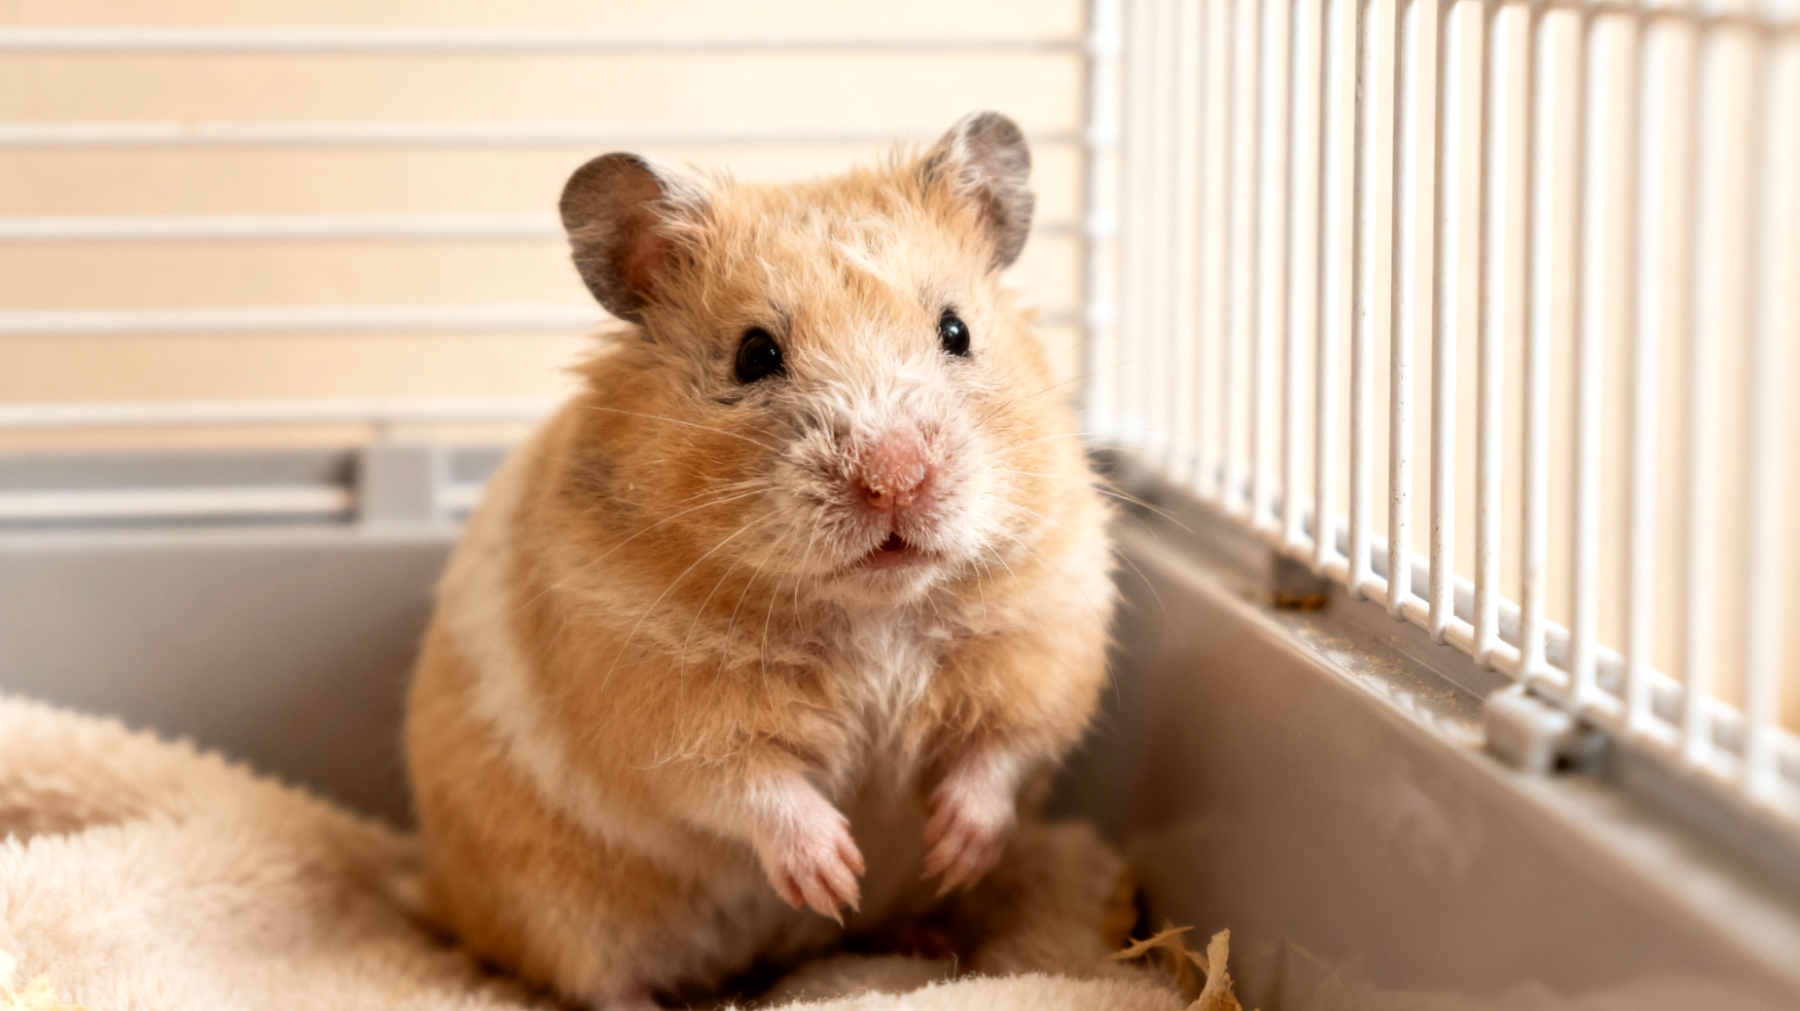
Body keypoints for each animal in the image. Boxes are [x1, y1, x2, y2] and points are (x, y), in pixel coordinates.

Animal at [404, 111, 1115, 1010]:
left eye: (955, 331)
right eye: (753, 355)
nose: (895, 478)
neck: (872, 610)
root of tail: (433, 887)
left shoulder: (1047, 640)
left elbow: (1002, 752)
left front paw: (953, 854)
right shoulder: (660, 708)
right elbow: (750, 788)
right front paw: (834, 872)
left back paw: (923, 937)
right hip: (554, 908)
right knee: (596, 978)